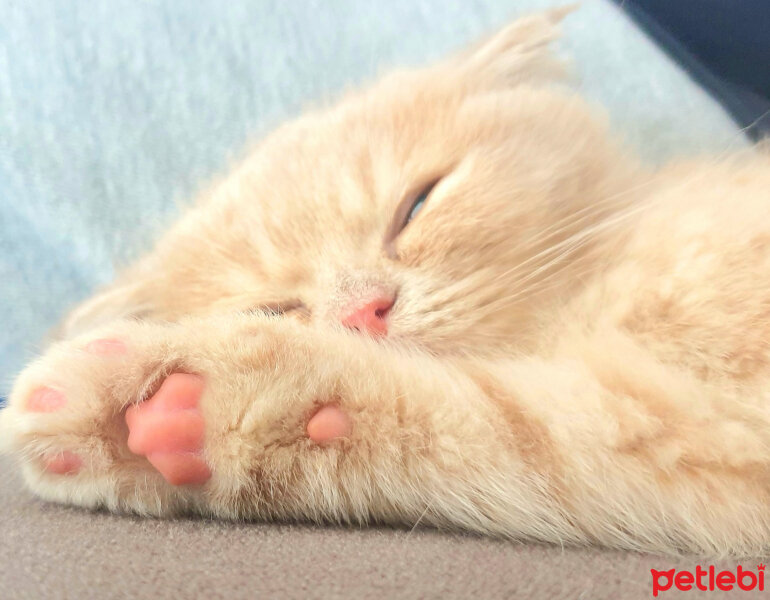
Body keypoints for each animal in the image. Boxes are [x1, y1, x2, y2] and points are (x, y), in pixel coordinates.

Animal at [1, 7, 768, 556]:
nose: (366, 312)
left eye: (418, 205)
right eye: (274, 306)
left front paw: (194, 403)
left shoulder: (702, 427)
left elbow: (504, 423)